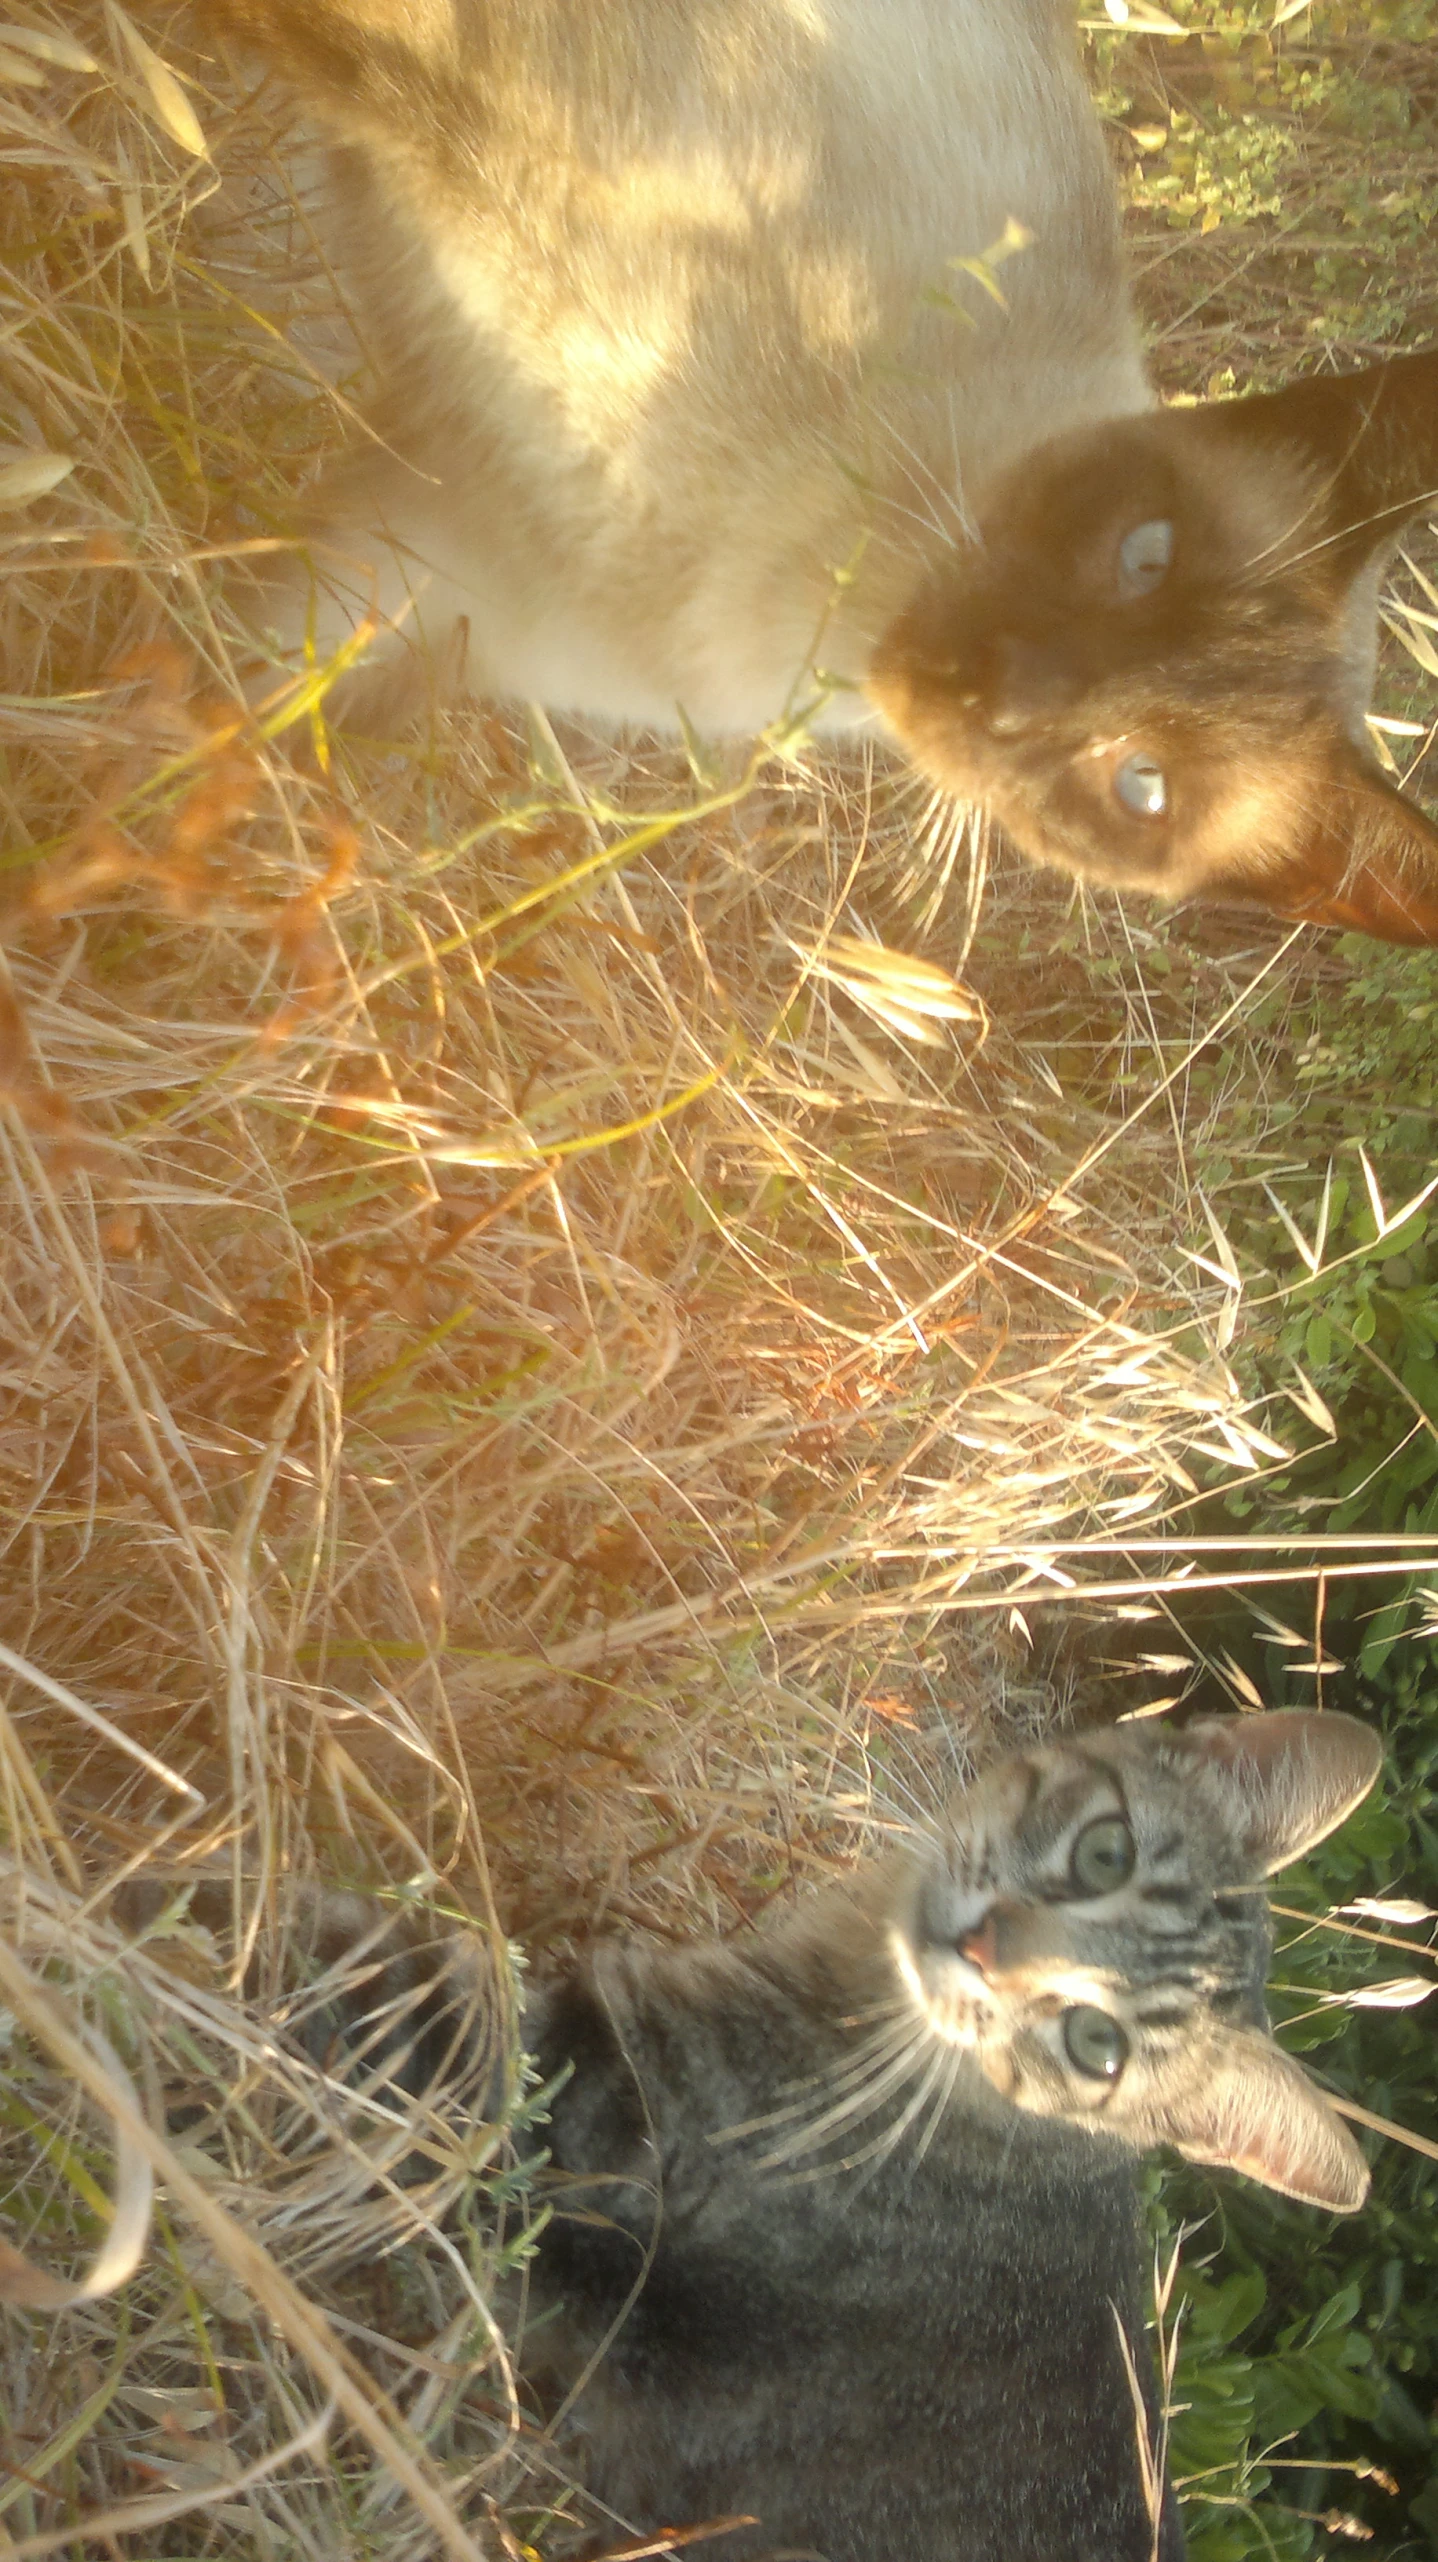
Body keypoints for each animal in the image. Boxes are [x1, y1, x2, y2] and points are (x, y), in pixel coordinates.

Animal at [188, 0, 1435, 942]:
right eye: (1146, 553)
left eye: (1139, 785)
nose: (997, 691)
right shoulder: (454, 100)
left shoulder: (417, 580)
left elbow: (207, 714)